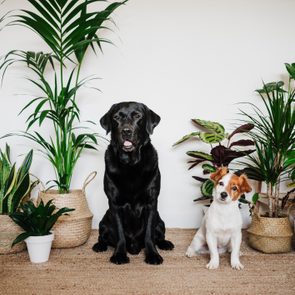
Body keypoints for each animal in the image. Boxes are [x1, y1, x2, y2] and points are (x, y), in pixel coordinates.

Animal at [93, 102, 175, 266]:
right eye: (116, 117)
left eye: (137, 116)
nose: (126, 131)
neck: (131, 165)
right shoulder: (114, 204)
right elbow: (120, 234)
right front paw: (119, 255)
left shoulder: (151, 203)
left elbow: (149, 234)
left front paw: (153, 255)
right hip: (104, 221)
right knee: (102, 236)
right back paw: (99, 245)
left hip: (160, 221)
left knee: (159, 235)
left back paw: (165, 244)